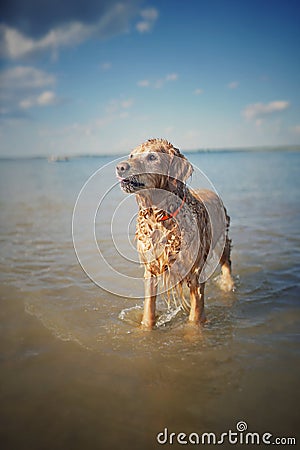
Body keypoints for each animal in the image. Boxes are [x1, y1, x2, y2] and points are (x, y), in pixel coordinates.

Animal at [116, 139, 233, 328]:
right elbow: (149, 310)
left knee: (226, 263)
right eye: (132, 155)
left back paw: (229, 285)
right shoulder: (151, 268)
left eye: (152, 157)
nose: (120, 167)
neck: (161, 217)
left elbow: (195, 316)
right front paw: (146, 327)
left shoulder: (195, 273)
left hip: (222, 241)